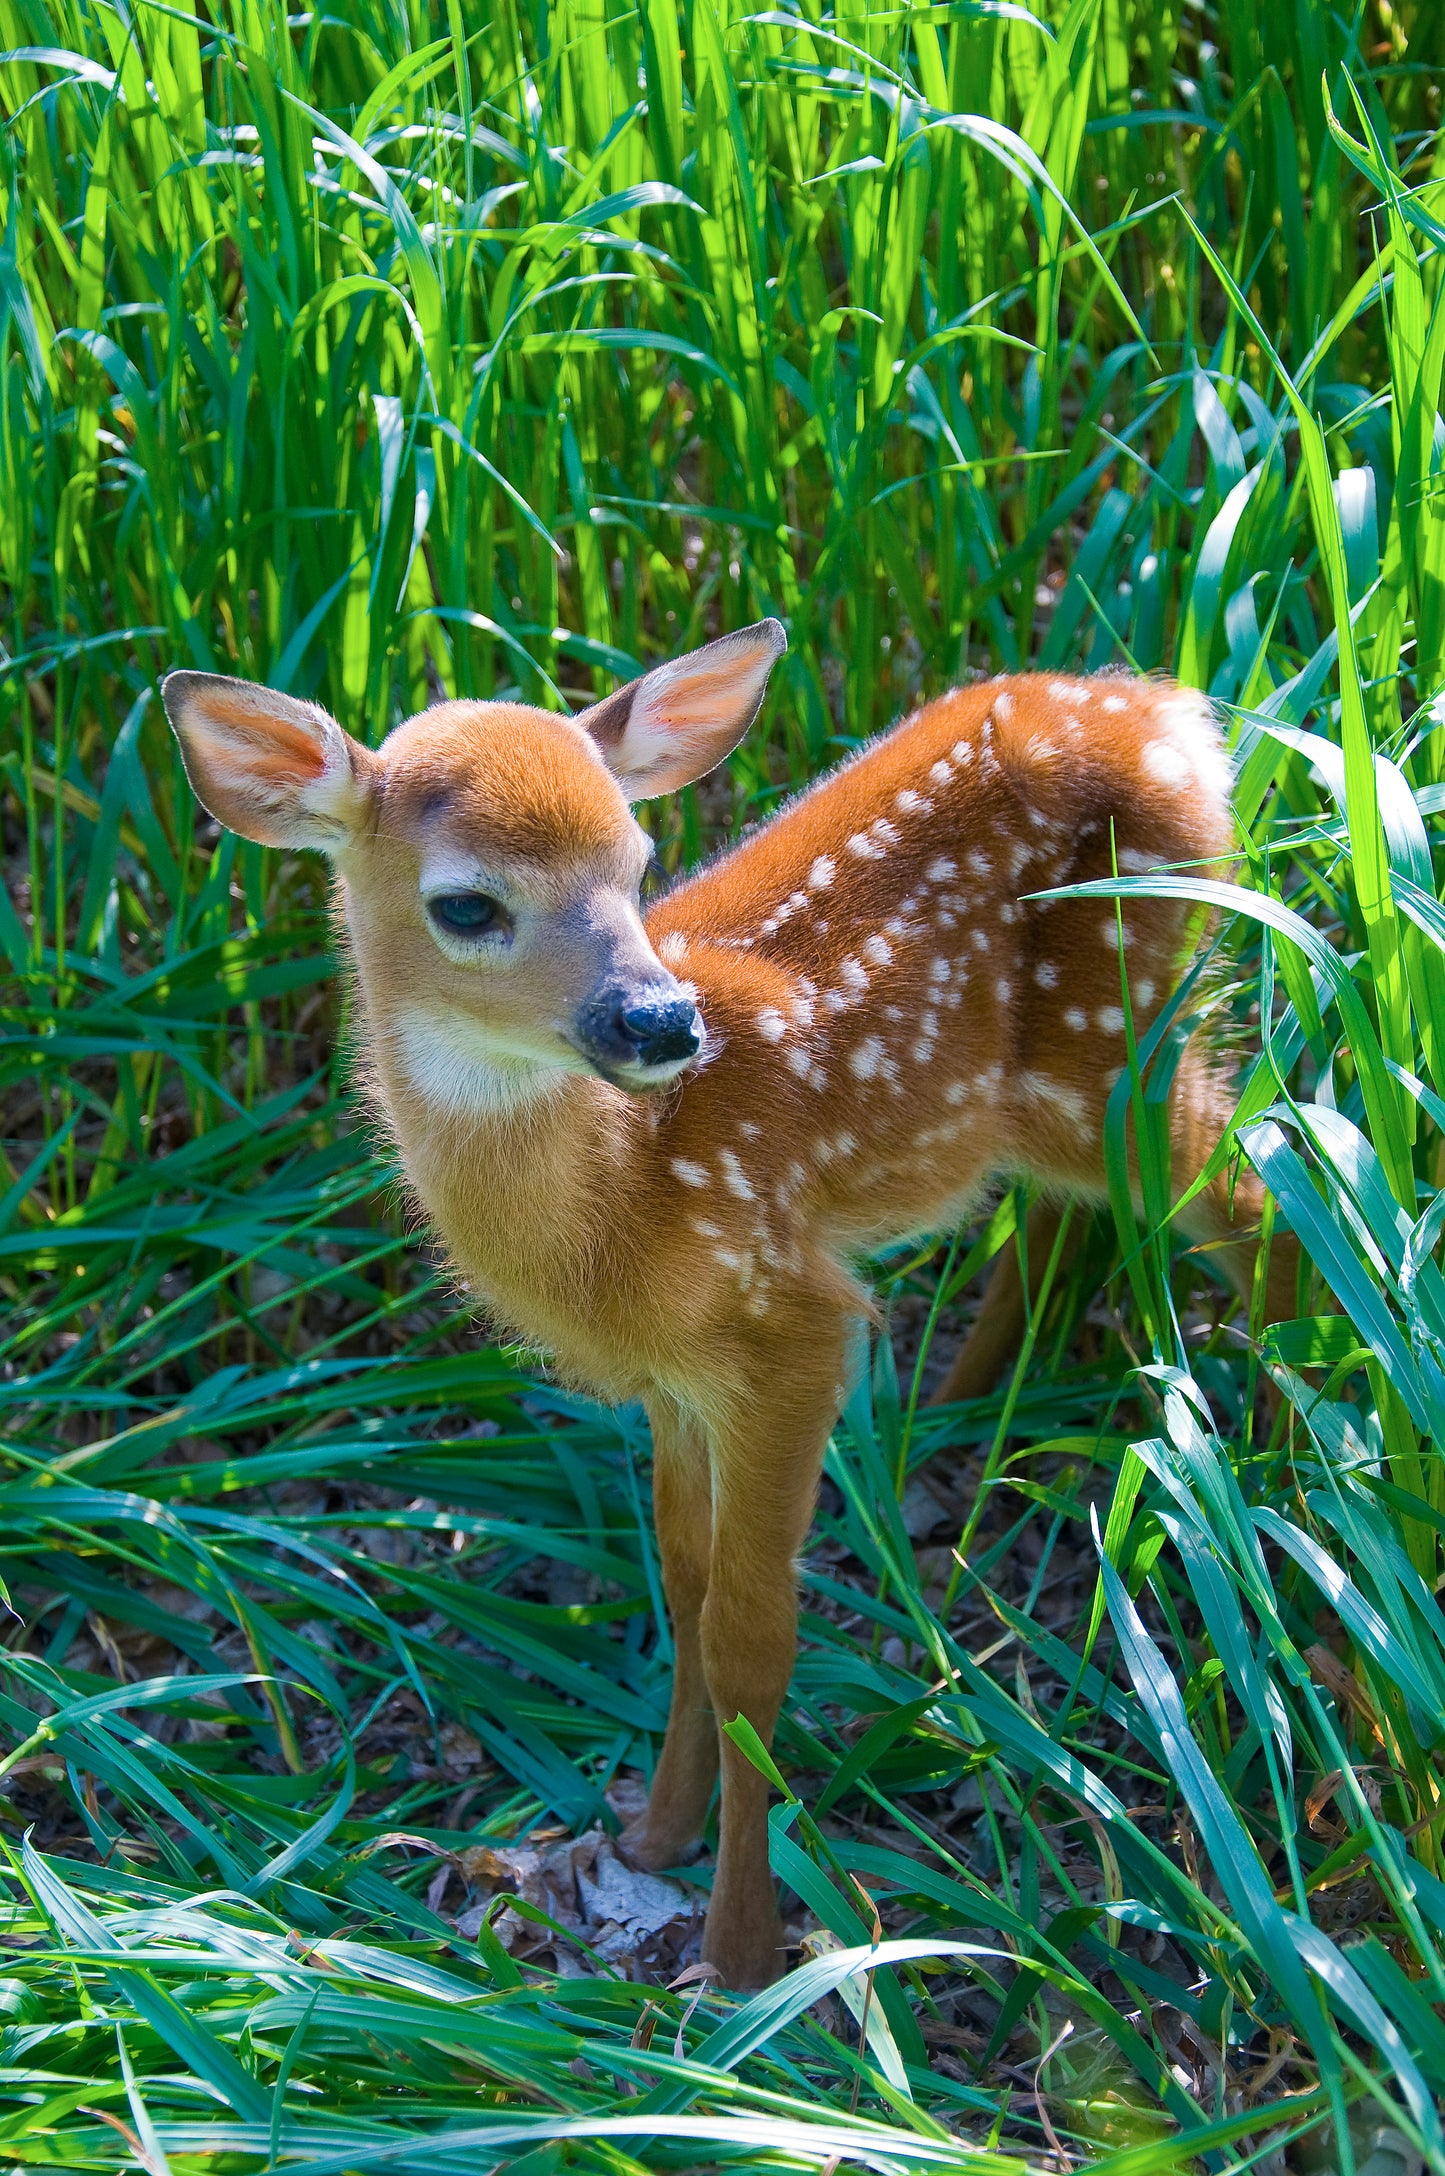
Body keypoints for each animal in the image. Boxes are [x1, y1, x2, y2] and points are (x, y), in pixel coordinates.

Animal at [161, 624, 1296, 1990]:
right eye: (467, 903)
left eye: (638, 862)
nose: (660, 1020)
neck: (627, 1204)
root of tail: (1170, 715)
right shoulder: (676, 1380)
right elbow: (683, 1587)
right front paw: (650, 1836)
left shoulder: (790, 1322)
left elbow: (750, 1635)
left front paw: (746, 1951)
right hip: (1060, 1085)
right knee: (1081, 1211)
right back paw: (968, 1419)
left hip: (1116, 1030)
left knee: (1257, 1194)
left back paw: (1280, 1462)